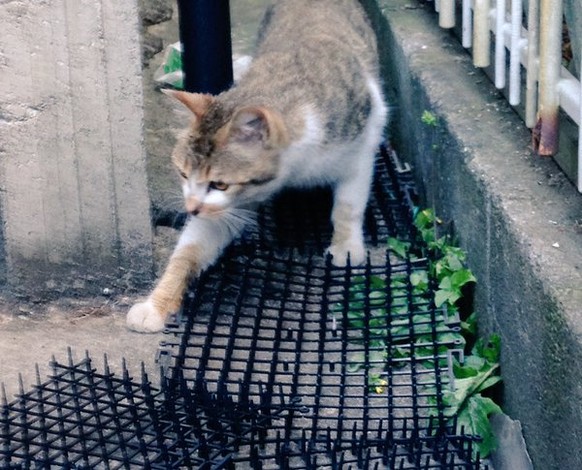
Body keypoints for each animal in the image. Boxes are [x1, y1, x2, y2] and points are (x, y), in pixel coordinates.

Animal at [130, 0, 390, 332]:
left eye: (219, 184)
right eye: (183, 173)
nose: (190, 208)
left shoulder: (362, 143)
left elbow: (348, 205)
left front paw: (346, 246)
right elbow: (191, 248)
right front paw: (156, 304)